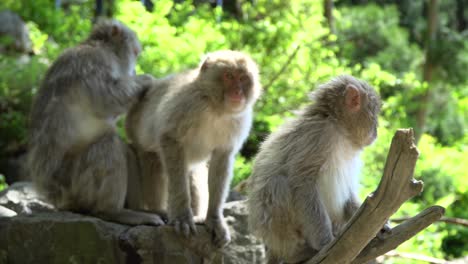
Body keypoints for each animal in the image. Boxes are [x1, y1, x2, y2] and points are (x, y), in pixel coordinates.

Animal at [27, 19, 165, 226]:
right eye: (135, 53)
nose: (134, 69)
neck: (99, 46)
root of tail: (55, 198)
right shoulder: (94, 61)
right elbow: (106, 100)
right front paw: (145, 79)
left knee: (124, 149)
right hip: (75, 186)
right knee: (108, 144)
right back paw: (113, 212)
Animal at [126, 50, 262, 248]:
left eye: (243, 78)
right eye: (229, 76)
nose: (238, 92)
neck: (215, 107)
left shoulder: (238, 120)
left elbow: (221, 159)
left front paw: (214, 219)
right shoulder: (187, 104)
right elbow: (171, 140)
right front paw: (182, 216)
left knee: (194, 173)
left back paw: (198, 216)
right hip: (136, 136)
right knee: (155, 164)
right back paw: (159, 211)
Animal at [247, 75, 386, 262]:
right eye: (375, 112)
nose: (376, 130)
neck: (337, 126)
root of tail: (273, 248)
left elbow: (348, 193)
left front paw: (380, 226)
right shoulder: (319, 135)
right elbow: (302, 182)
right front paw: (324, 241)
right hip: (276, 231)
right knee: (278, 184)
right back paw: (298, 253)